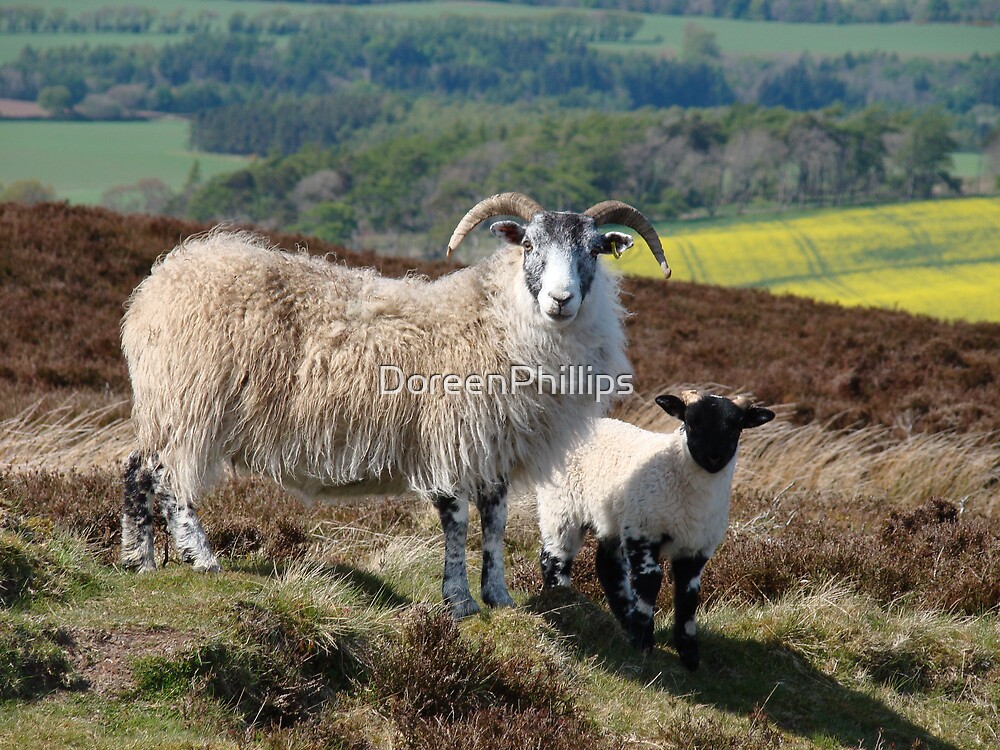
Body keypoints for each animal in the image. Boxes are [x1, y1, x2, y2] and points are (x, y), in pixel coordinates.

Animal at [119, 192, 671, 619]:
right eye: (530, 245)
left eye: (593, 251)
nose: (561, 300)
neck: (494, 320)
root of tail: (162, 279)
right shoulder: (449, 440)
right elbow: (458, 523)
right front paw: (460, 603)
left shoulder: (492, 446)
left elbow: (494, 525)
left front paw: (499, 598)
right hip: (190, 399)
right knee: (168, 479)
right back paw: (200, 557)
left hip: (167, 404)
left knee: (136, 468)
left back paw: (138, 560)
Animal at [535, 390, 774, 668]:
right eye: (691, 422)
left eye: (736, 427)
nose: (714, 457)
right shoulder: (643, 532)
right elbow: (650, 581)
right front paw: (643, 642)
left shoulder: (696, 547)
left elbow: (688, 595)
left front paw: (689, 654)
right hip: (561, 507)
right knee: (555, 557)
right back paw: (563, 601)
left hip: (614, 520)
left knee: (608, 567)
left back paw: (623, 620)